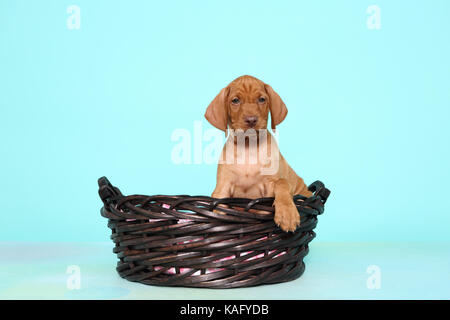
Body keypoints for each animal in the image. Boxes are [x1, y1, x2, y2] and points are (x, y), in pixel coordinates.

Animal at [205, 75, 312, 232]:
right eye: (235, 100)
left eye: (262, 99)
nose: (251, 120)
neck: (248, 147)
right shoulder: (222, 189)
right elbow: (218, 207)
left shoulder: (271, 183)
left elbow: (282, 183)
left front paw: (287, 214)